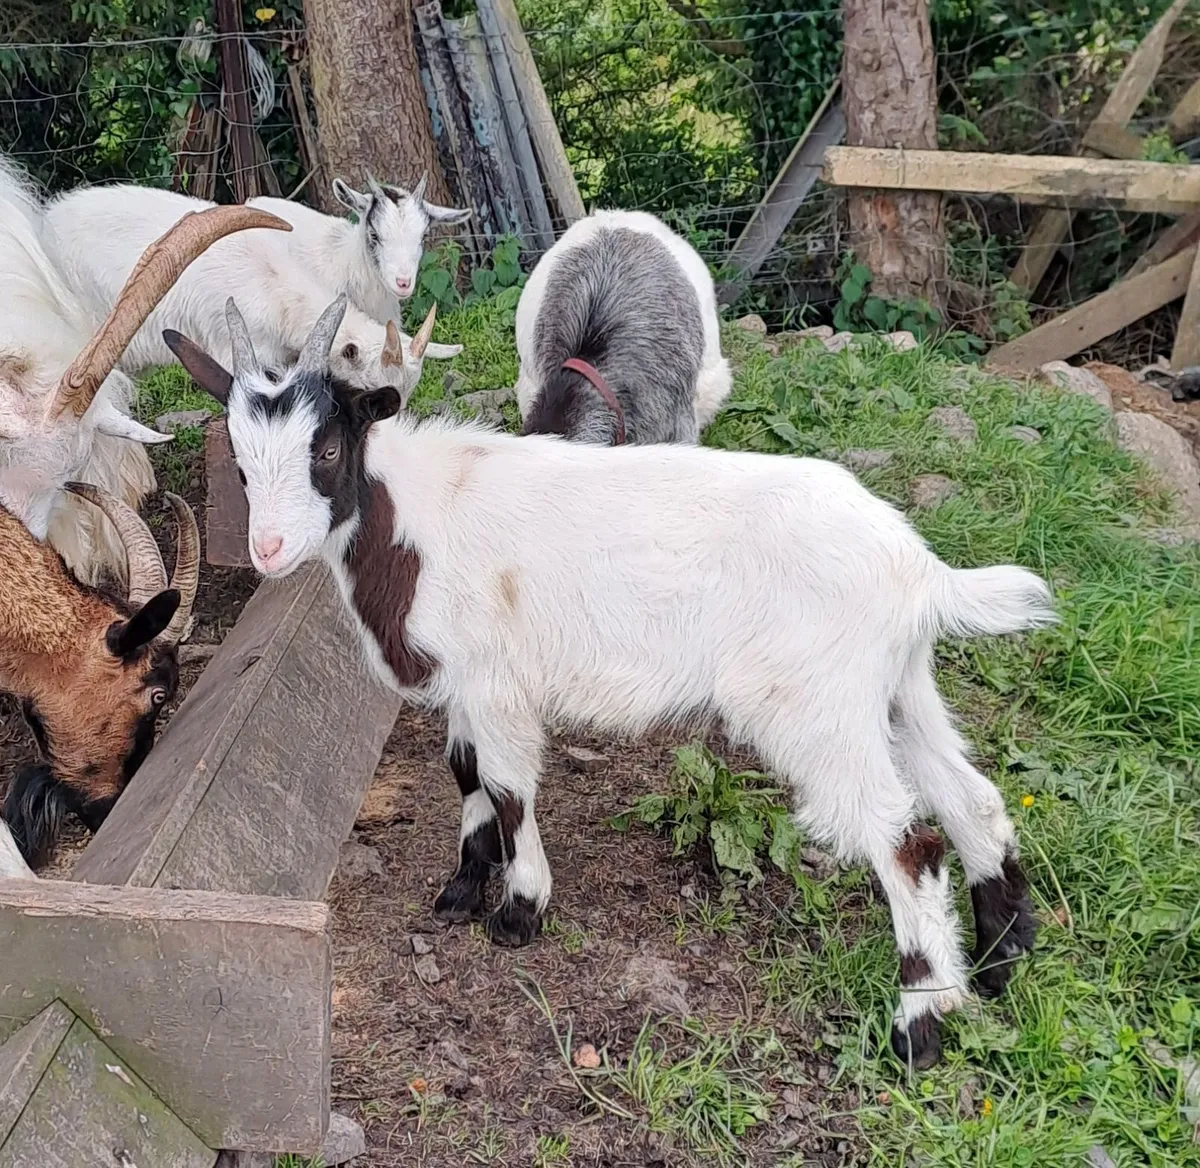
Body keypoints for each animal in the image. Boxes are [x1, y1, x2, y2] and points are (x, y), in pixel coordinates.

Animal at [167, 295, 1056, 1070]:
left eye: (325, 449)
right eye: (239, 466)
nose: (269, 550)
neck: (415, 519)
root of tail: (919, 570)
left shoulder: (496, 682)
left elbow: (508, 788)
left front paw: (519, 911)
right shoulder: (465, 682)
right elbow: (465, 775)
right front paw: (462, 888)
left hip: (815, 707)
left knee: (908, 844)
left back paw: (920, 1024)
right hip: (896, 685)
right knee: (973, 797)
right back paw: (1002, 958)